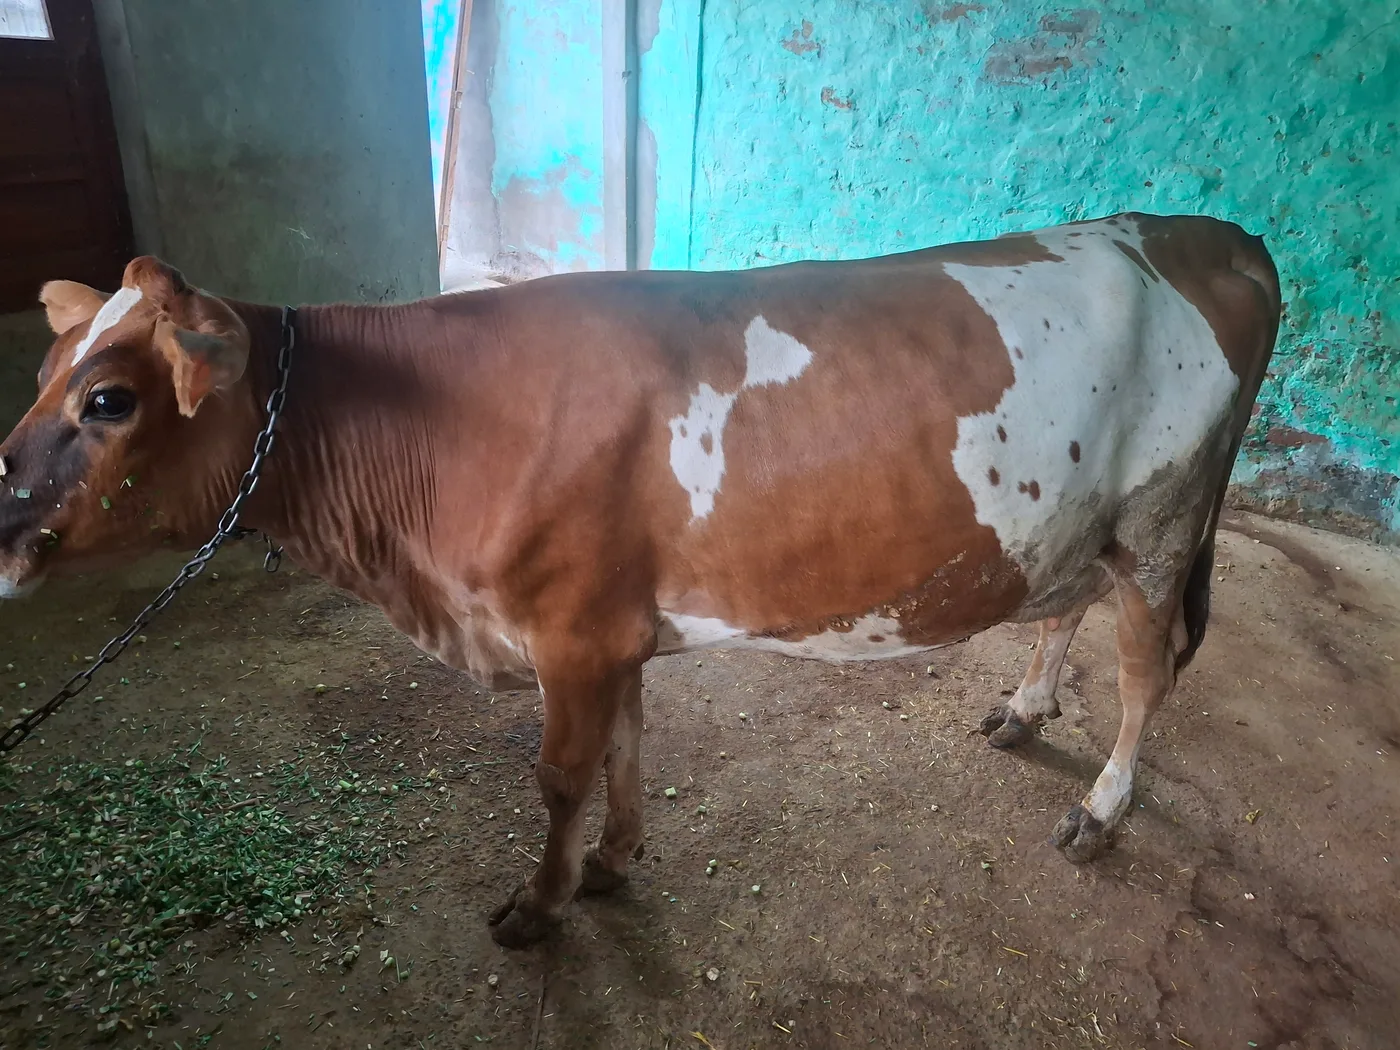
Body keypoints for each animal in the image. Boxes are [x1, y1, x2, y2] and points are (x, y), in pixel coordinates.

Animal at [0, 213, 1280, 948]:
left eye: (108, 398)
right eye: (44, 367)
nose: (2, 516)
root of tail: (1203, 231)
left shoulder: (568, 628)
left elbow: (559, 774)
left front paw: (540, 904)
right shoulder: (611, 629)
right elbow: (624, 746)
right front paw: (611, 864)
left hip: (1163, 517)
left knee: (1146, 668)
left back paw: (1101, 807)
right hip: (1078, 519)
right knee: (1065, 608)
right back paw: (1022, 706)